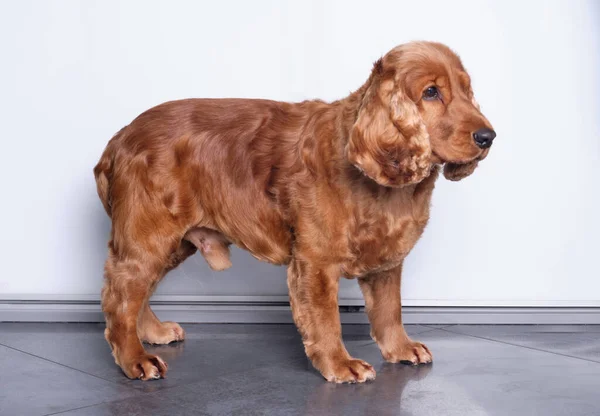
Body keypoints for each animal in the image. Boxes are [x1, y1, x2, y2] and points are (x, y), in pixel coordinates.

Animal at [94, 40, 494, 382]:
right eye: (431, 92)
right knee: (120, 296)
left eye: (466, 90)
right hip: (148, 236)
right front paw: (341, 365)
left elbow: (389, 309)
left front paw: (400, 349)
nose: (488, 137)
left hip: (172, 242)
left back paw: (153, 332)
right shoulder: (315, 262)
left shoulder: (386, 261)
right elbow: (327, 318)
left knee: (138, 291)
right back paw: (135, 359)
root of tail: (119, 138)